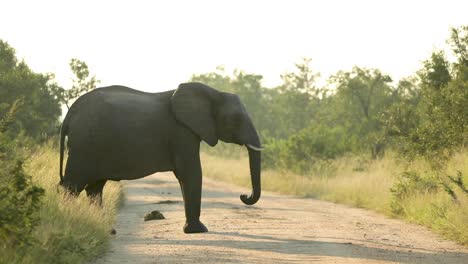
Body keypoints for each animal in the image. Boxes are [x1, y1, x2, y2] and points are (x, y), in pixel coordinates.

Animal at [58, 82, 262, 233]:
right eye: (236, 119)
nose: (243, 195)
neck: (214, 92)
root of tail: (69, 114)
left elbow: (186, 175)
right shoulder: (181, 132)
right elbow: (190, 173)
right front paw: (199, 231)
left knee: (94, 187)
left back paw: (107, 230)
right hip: (84, 145)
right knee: (73, 185)